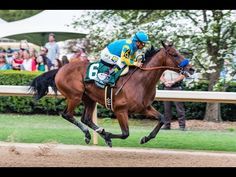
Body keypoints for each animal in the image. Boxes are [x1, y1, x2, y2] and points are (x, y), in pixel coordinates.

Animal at [30, 41, 195, 147]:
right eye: (174, 54)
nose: (191, 69)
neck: (141, 81)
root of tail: (60, 69)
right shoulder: (120, 110)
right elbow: (125, 133)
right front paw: (109, 136)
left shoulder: (145, 107)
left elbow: (162, 118)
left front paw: (145, 138)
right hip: (74, 96)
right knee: (67, 115)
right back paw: (90, 134)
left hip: (89, 98)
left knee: (86, 118)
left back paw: (98, 132)